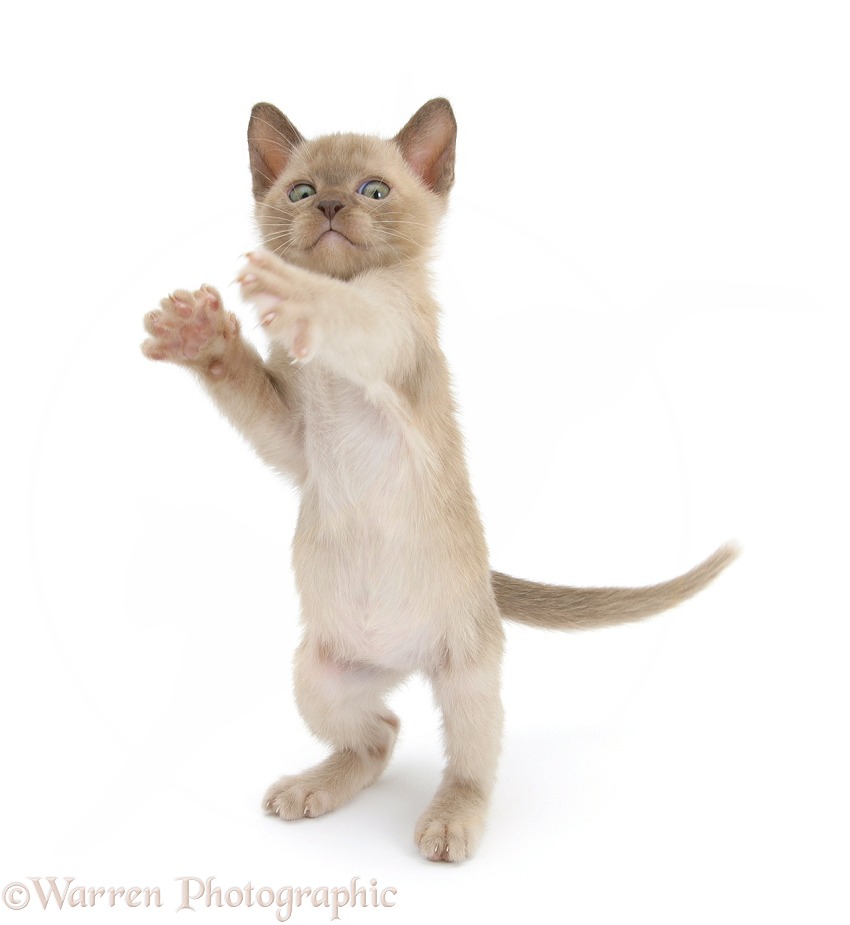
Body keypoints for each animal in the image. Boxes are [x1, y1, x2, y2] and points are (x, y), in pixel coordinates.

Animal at [141, 99, 736, 860]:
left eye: (372, 190)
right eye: (301, 192)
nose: (329, 207)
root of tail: (402, 659)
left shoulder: (389, 337)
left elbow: (352, 310)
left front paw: (288, 289)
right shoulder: (294, 439)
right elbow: (250, 387)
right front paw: (201, 335)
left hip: (468, 678)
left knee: (469, 764)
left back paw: (450, 822)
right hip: (319, 676)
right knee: (381, 735)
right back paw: (314, 787)